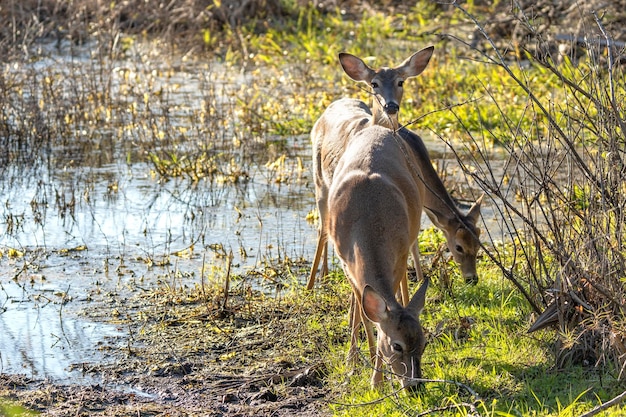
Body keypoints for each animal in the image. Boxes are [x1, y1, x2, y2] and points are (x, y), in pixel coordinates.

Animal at [308, 47, 434, 288]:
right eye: (374, 83)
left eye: (401, 81)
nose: (390, 106)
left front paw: (422, 278)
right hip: (320, 180)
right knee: (321, 228)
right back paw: (313, 282)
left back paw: (324, 275)